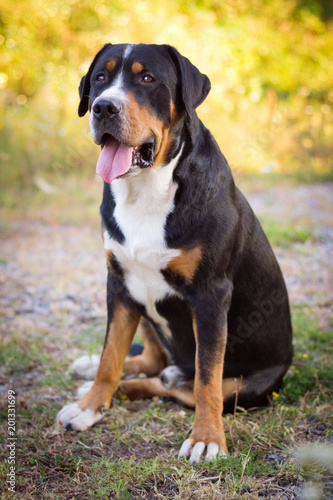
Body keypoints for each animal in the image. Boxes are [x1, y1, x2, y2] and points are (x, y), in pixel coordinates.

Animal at [56, 43, 290, 464]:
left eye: (147, 78)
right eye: (101, 77)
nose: (103, 107)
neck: (147, 190)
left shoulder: (211, 296)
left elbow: (206, 379)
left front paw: (207, 438)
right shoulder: (119, 284)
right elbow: (110, 357)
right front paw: (89, 406)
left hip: (247, 385)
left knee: (179, 383)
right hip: (140, 303)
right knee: (153, 361)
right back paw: (95, 375)